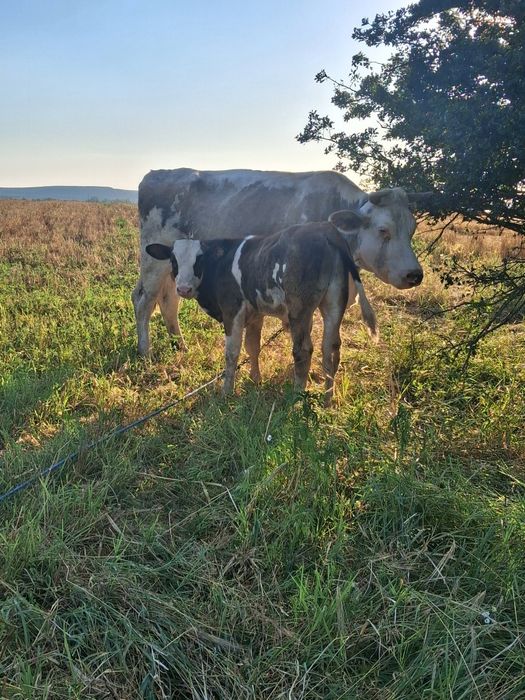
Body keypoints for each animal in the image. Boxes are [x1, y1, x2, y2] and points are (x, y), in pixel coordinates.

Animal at [133, 168, 426, 356]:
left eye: (412, 230)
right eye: (383, 230)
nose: (414, 274)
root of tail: (157, 174)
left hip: (174, 265)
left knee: (169, 300)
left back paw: (180, 346)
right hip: (153, 259)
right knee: (143, 300)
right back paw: (145, 353)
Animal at [145, 211, 377, 405]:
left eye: (199, 259)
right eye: (173, 260)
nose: (183, 289)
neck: (220, 264)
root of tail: (327, 230)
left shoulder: (232, 311)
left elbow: (232, 353)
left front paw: (226, 392)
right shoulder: (255, 314)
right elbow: (252, 347)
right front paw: (255, 379)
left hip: (299, 310)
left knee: (303, 350)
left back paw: (296, 396)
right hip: (334, 305)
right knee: (331, 349)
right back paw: (328, 400)